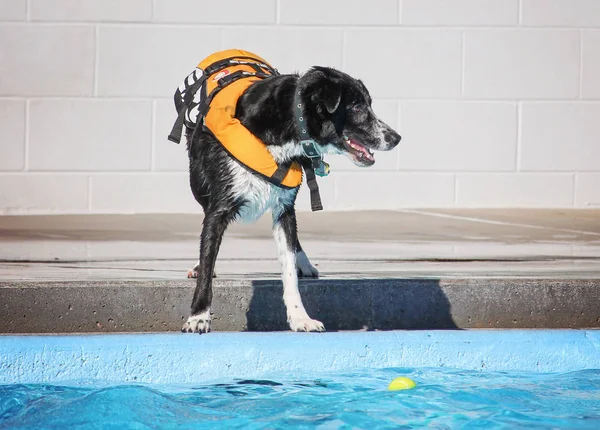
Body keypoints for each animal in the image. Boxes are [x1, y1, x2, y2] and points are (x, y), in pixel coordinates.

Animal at [180, 64, 400, 332]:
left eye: (369, 104)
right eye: (357, 107)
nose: (396, 138)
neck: (288, 126)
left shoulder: (284, 208)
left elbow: (289, 271)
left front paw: (300, 318)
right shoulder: (219, 206)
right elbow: (207, 256)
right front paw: (198, 317)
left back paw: (303, 262)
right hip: (198, 183)